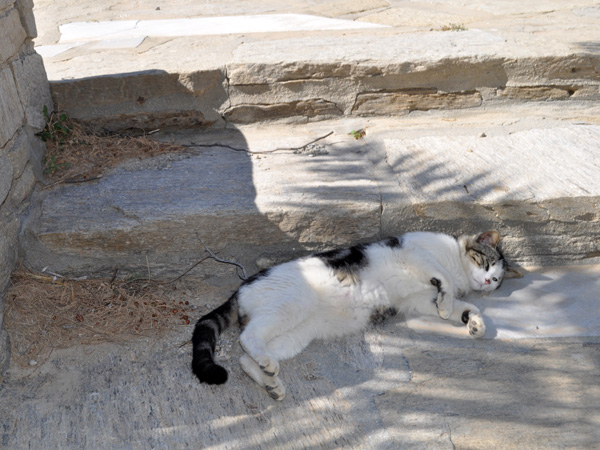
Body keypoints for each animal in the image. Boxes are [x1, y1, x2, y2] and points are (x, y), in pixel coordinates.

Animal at [191, 230, 520, 400]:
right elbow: (445, 283)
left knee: (247, 358)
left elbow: (464, 307)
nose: (488, 282)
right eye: (486, 263)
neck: (457, 265)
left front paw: (474, 324)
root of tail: (240, 288)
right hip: (289, 306)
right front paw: (448, 300)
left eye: (498, 278)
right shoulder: (416, 253)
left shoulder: (419, 301)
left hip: (295, 335)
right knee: (248, 338)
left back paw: (270, 380)